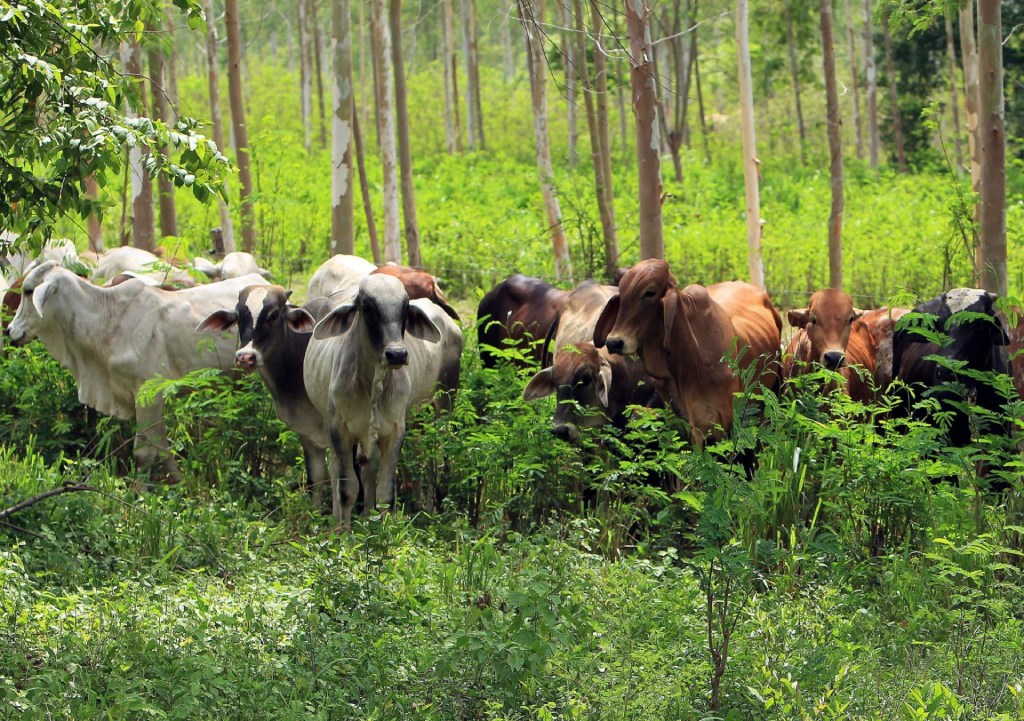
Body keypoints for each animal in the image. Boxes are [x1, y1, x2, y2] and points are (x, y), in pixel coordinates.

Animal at [7, 262, 268, 481]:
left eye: (28, 291)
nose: (10, 330)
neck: (107, 320)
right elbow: (160, 448)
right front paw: (178, 483)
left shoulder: (149, 395)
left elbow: (145, 453)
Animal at [299, 272, 462, 528]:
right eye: (367, 307)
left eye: (405, 307)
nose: (397, 354)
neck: (371, 385)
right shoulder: (340, 429)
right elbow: (346, 490)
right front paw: (344, 533)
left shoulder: (394, 431)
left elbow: (385, 494)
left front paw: (385, 533)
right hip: (331, 422)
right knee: (336, 471)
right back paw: (339, 522)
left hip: (445, 401)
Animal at [589, 259, 778, 444]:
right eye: (621, 292)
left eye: (649, 293)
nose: (614, 342)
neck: (690, 359)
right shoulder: (688, 424)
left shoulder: (726, 421)